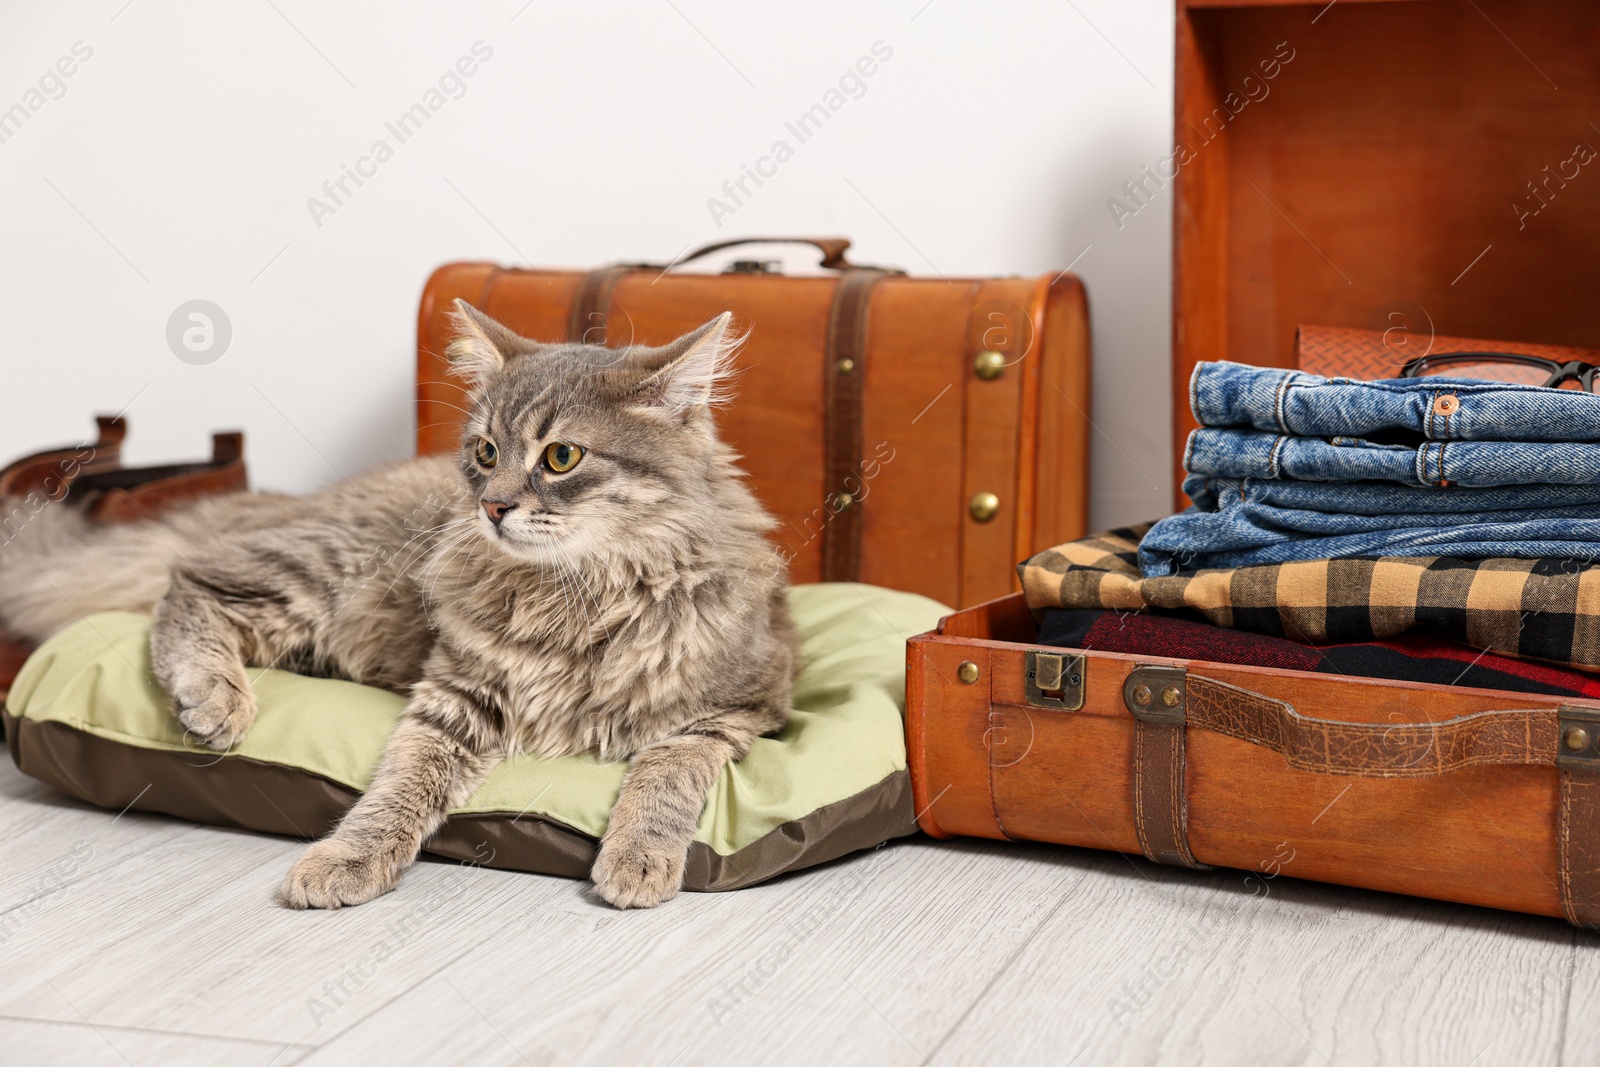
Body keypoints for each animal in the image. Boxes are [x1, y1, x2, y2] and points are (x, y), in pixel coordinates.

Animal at [0, 307, 800, 908]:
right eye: (485, 451)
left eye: (561, 458)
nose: (492, 506)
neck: (574, 593)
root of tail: (297, 501)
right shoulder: (455, 698)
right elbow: (399, 788)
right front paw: (347, 859)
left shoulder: (736, 709)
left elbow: (667, 773)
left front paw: (638, 858)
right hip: (319, 571)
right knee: (189, 580)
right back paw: (215, 698)